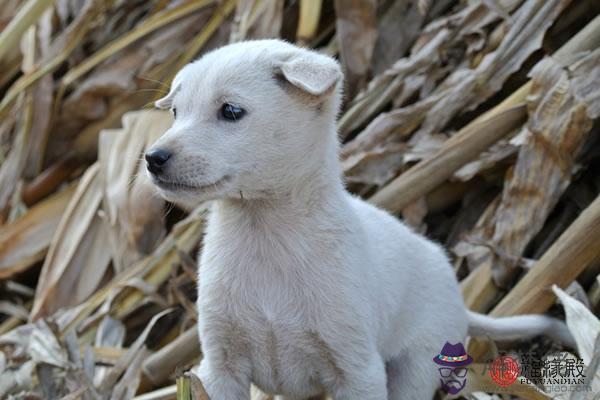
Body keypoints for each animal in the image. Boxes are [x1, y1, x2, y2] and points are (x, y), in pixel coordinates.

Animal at [148, 38, 576, 400]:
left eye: (231, 111)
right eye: (175, 112)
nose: (153, 157)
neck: (265, 233)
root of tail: (457, 293)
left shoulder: (357, 370)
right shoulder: (220, 366)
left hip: (415, 367)